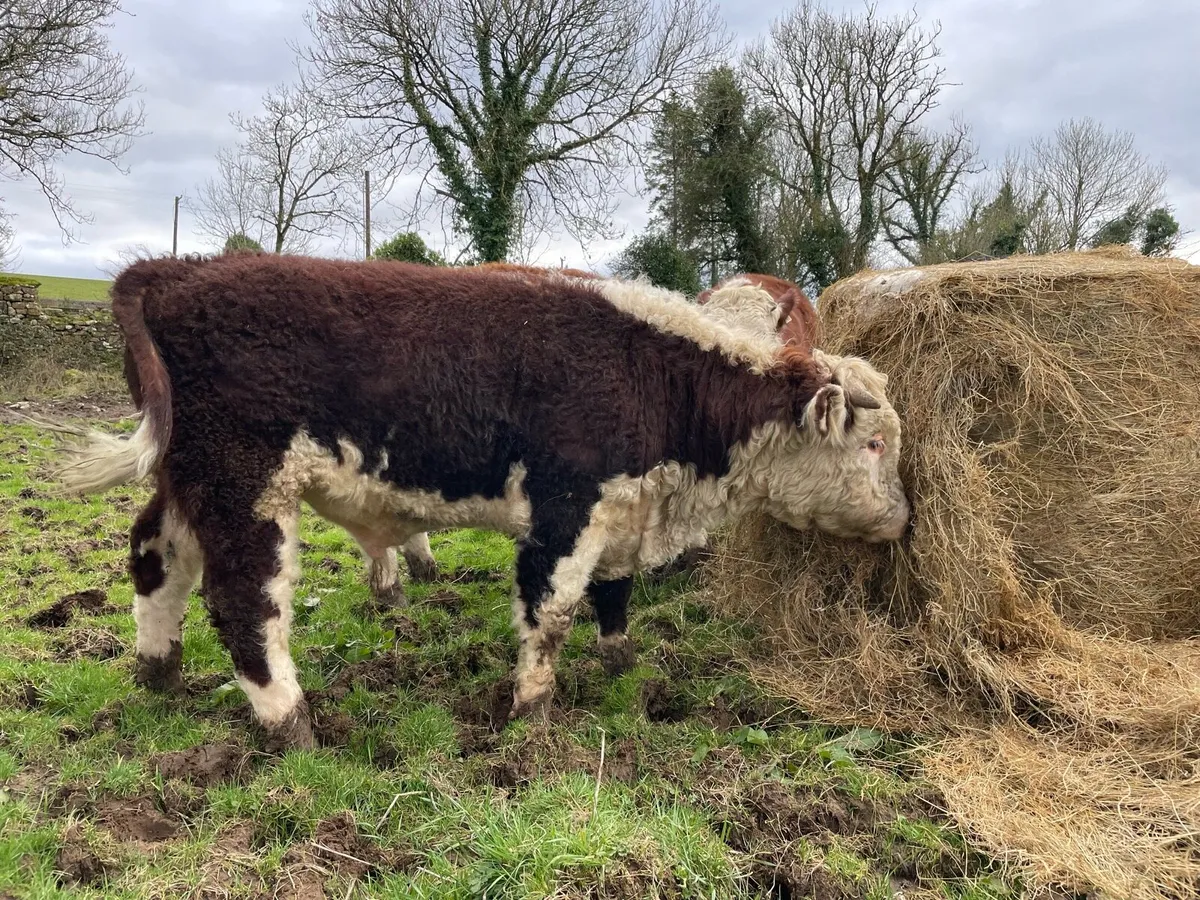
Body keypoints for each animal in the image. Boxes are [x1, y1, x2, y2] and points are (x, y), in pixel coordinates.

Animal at [53, 253, 909, 752]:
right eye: (873, 445)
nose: (903, 517)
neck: (655, 377)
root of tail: (175, 269)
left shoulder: (620, 509)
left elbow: (614, 595)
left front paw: (623, 664)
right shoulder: (566, 508)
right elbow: (551, 612)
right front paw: (531, 713)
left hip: (188, 480)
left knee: (155, 558)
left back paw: (158, 672)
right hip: (246, 484)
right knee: (245, 604)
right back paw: (291, 724)